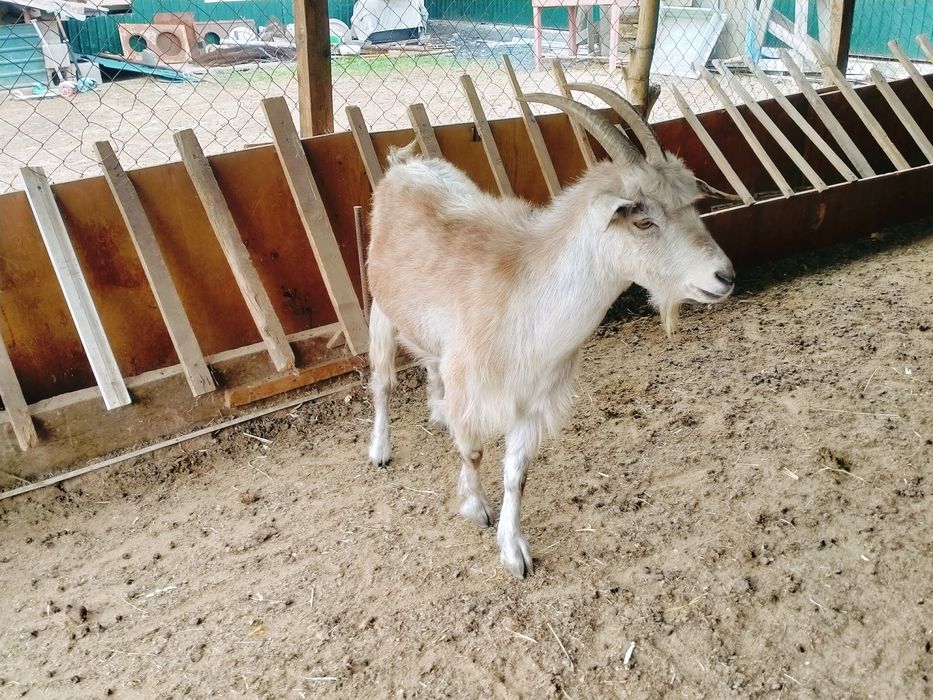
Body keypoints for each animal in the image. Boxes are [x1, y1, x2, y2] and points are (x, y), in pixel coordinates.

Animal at [365, 89, 735, 578]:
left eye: (693, 206)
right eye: (642, 220)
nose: (724, 277)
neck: (526, 299)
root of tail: (404, 165)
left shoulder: (534, 398)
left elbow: (516, 474)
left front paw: (513, 550)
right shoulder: (475, 386)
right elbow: (472, 451)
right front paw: (474, 507)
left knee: (430, 363)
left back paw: (437, 410)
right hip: (380, 307)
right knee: (383, 382)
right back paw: (380, 449)